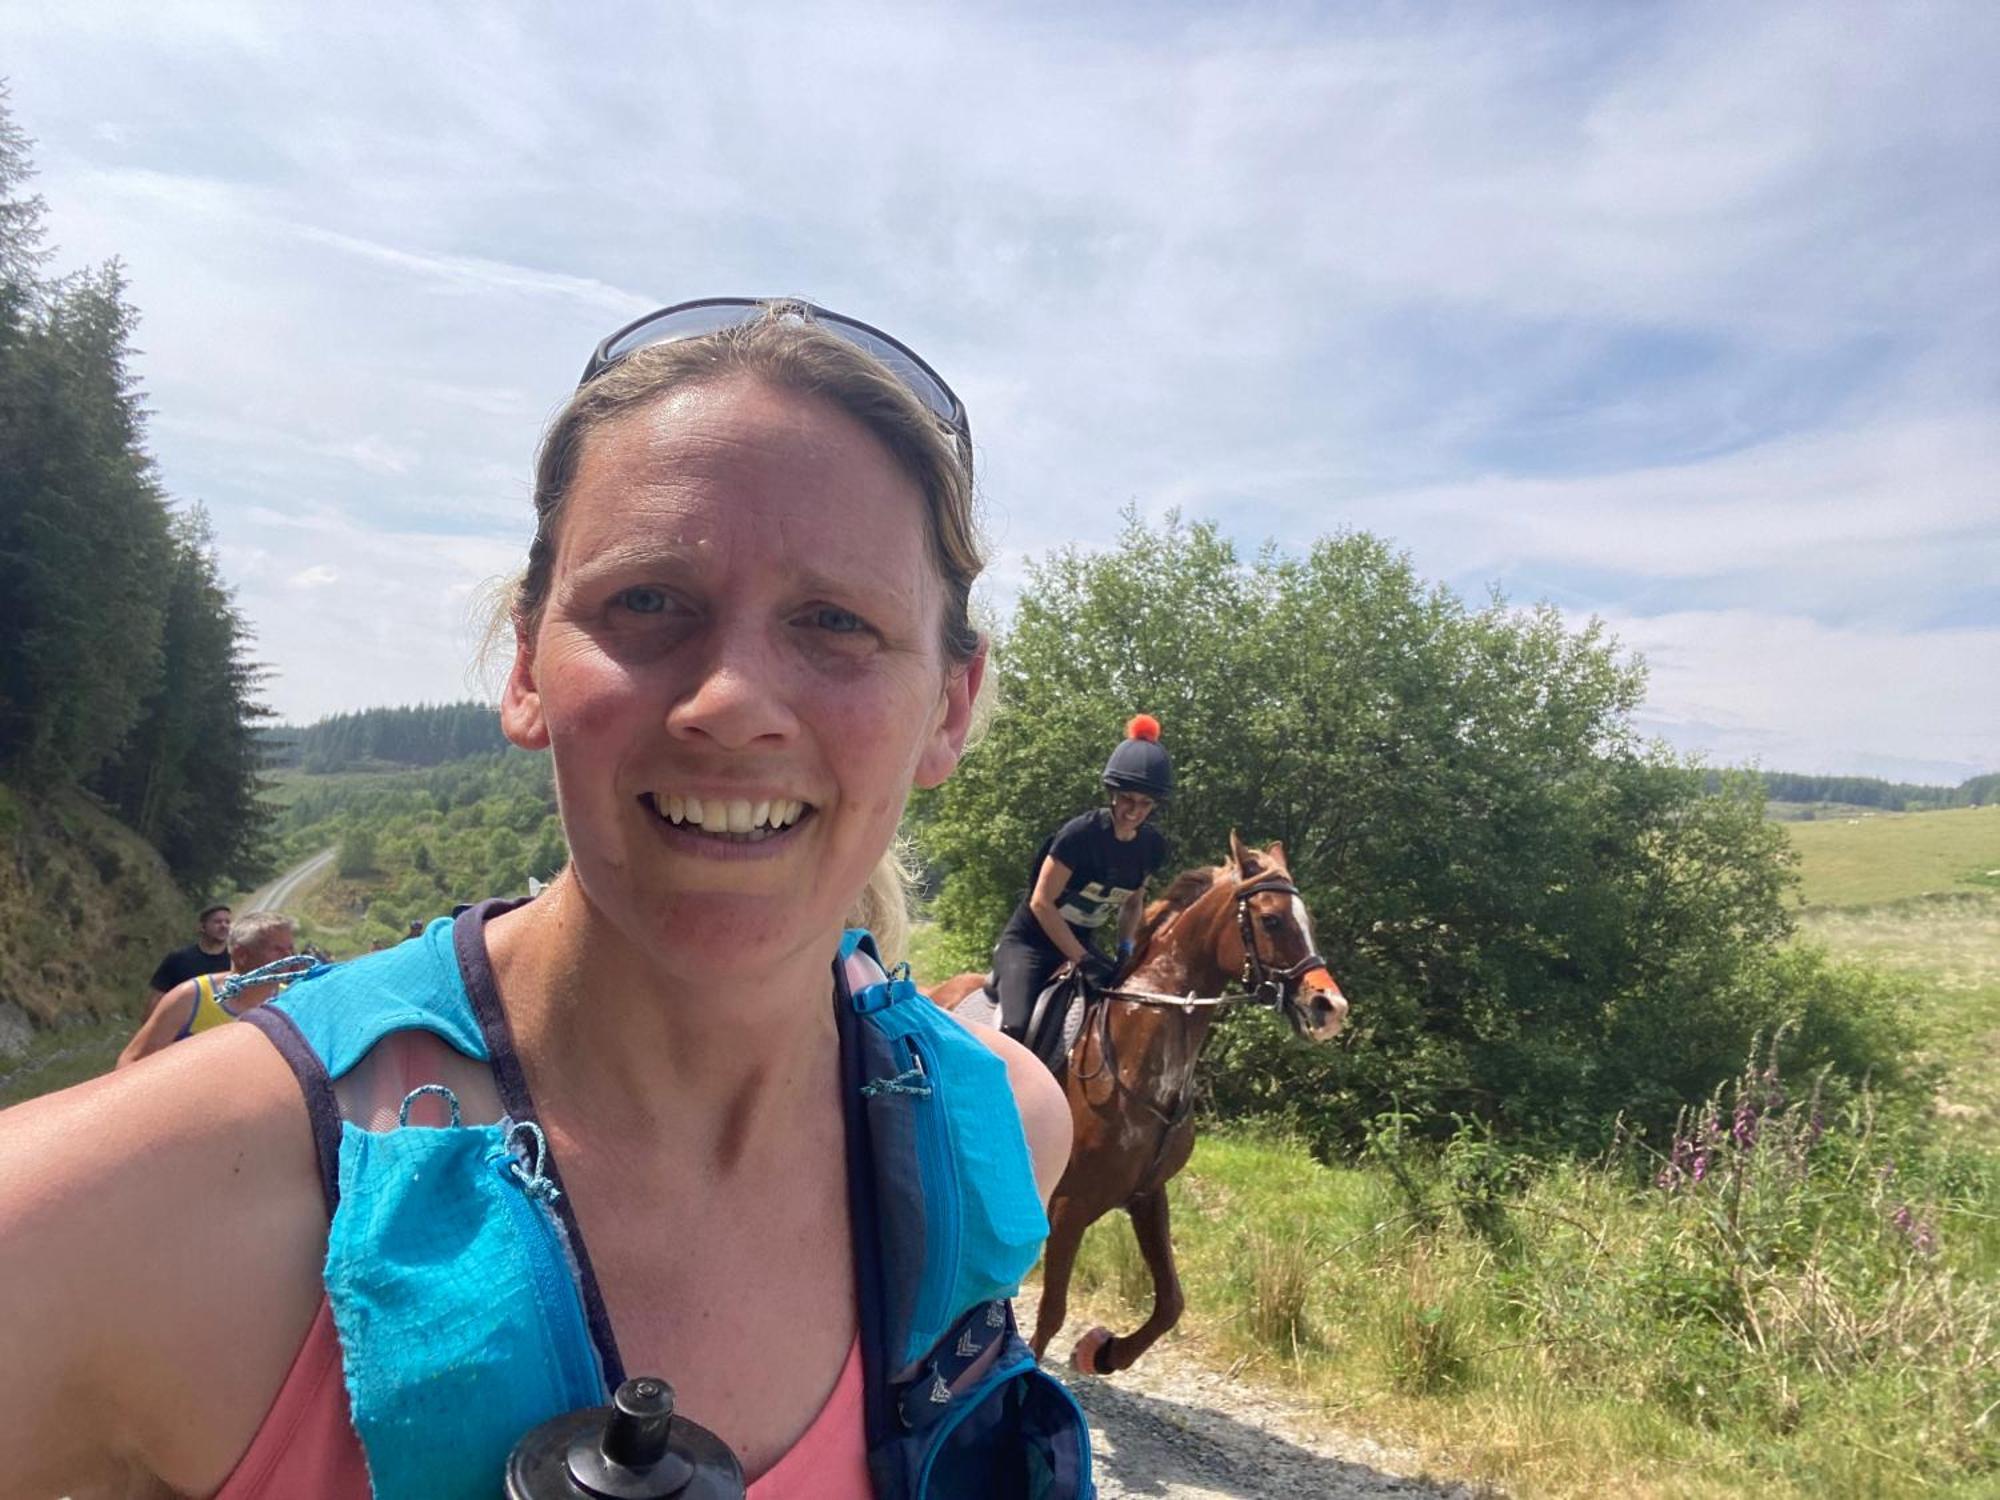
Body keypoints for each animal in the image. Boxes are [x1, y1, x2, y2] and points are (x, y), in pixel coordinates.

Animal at [932, 836, 1344, 1376]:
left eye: (1308, 919)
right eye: (1272, 920)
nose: (1330, 1007)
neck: (1136, 1056)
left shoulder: (1147, 1196)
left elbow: (1170, 1303)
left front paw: (1106, 1352)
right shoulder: (1070, 1206)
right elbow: (1051, 1310)